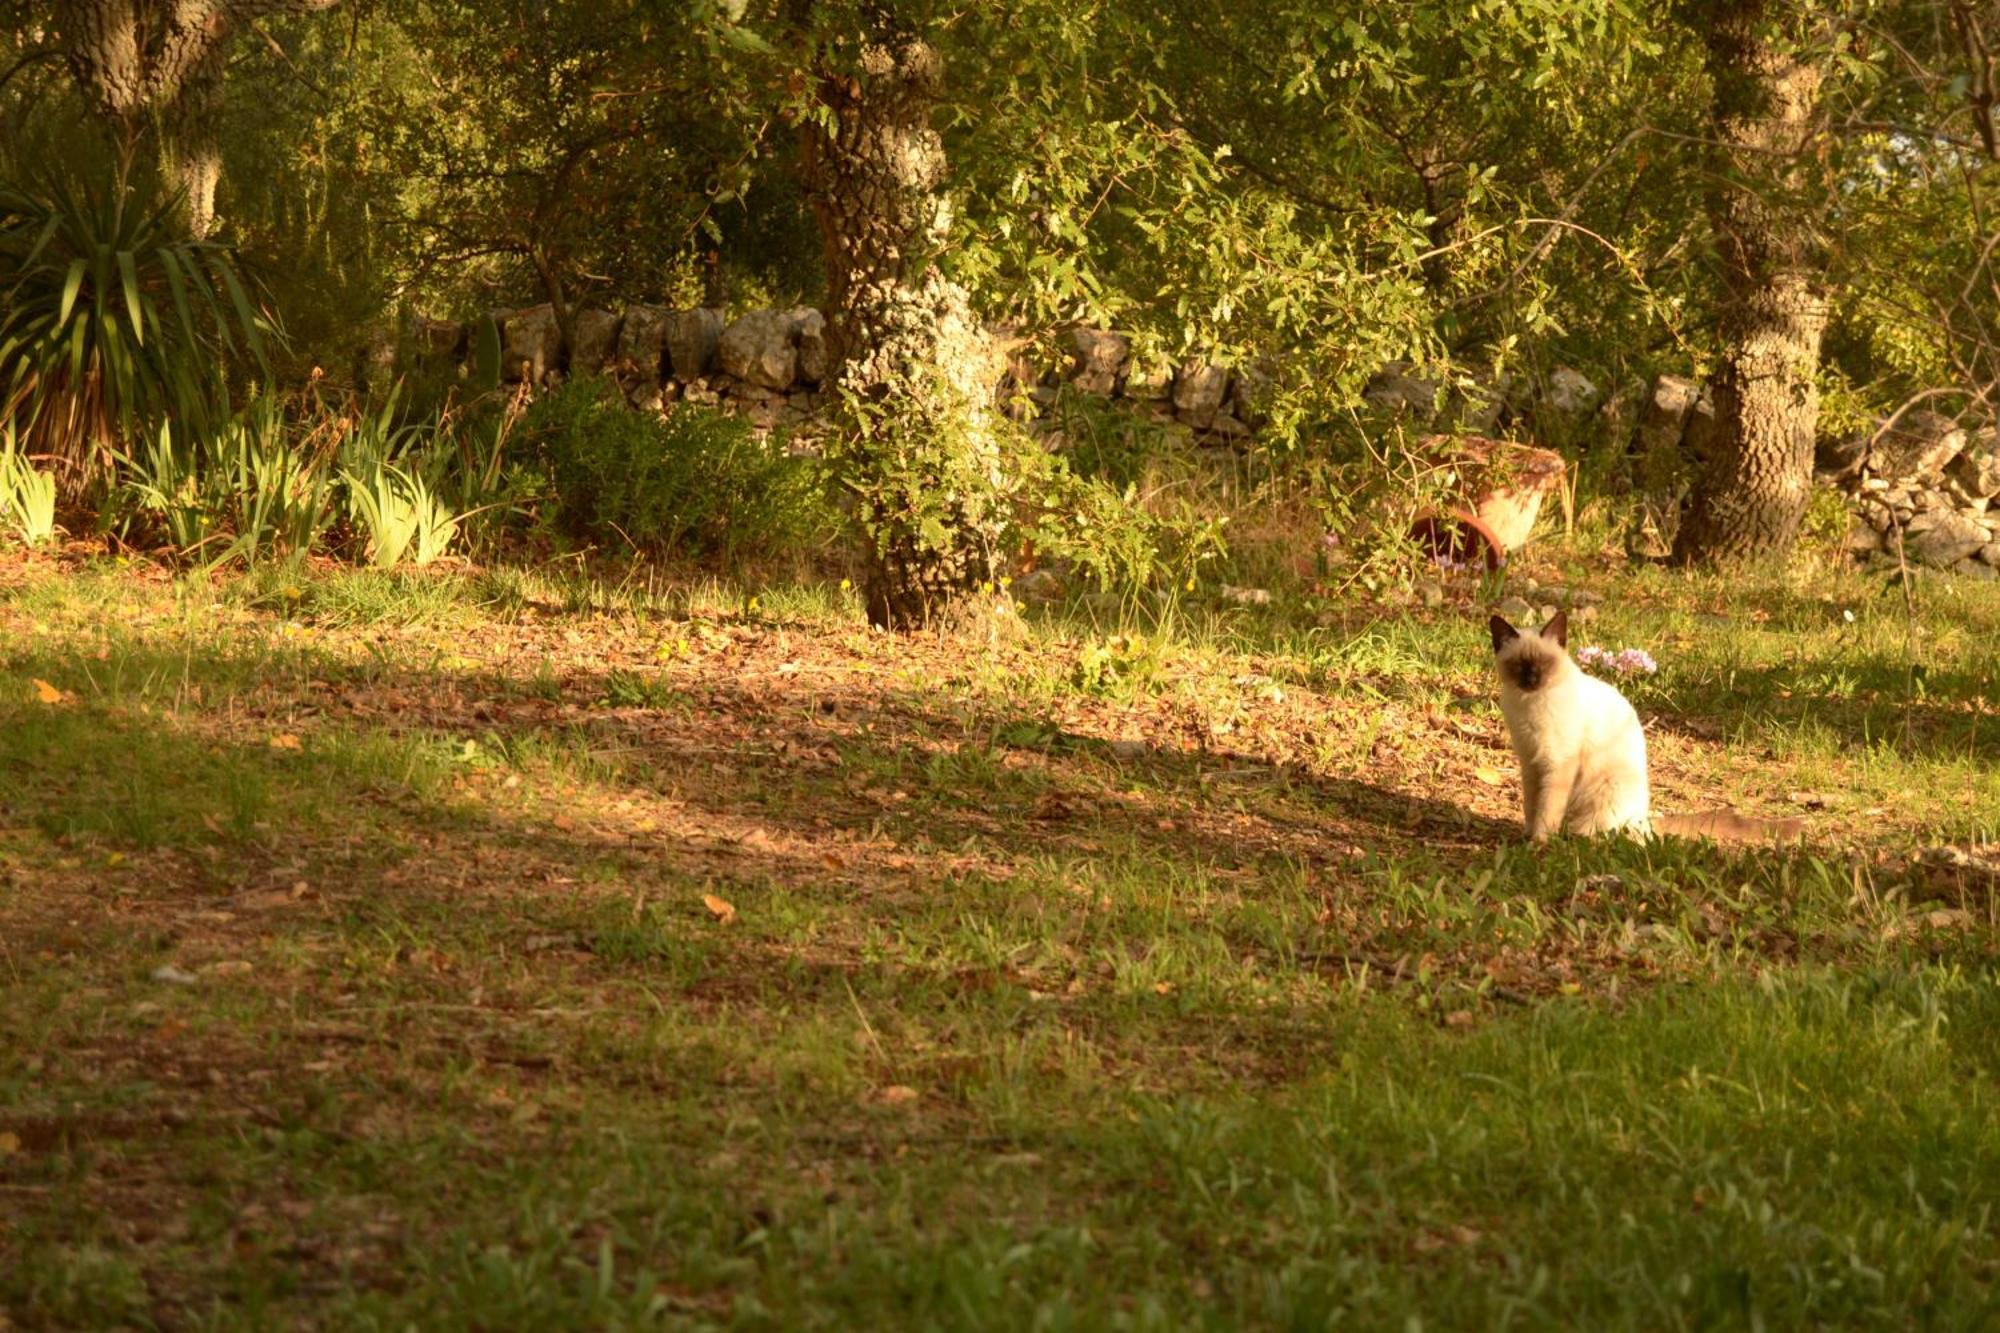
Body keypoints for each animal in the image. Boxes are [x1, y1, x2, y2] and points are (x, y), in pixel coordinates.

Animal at [1488, 612, 1800, 840]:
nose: (1531, 679)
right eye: (1519, 665)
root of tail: (1643, 818)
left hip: (1603, 793)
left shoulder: (1557, 765)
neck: (1529, 705)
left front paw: (1538, 844)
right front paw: (1526, 837)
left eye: (1543, 663)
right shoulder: (1530, 763)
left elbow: (1546, 811)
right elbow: (1531, 806)